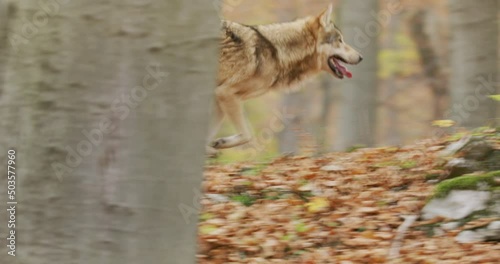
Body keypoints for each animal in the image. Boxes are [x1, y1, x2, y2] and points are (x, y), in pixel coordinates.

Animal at [207, 4, 364, 156]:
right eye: (340, 40)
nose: (361, 57)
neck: (277, 52)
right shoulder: (225, 93)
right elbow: (248, 135)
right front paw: (215, 147)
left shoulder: (219, 98)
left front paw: (213, 146)